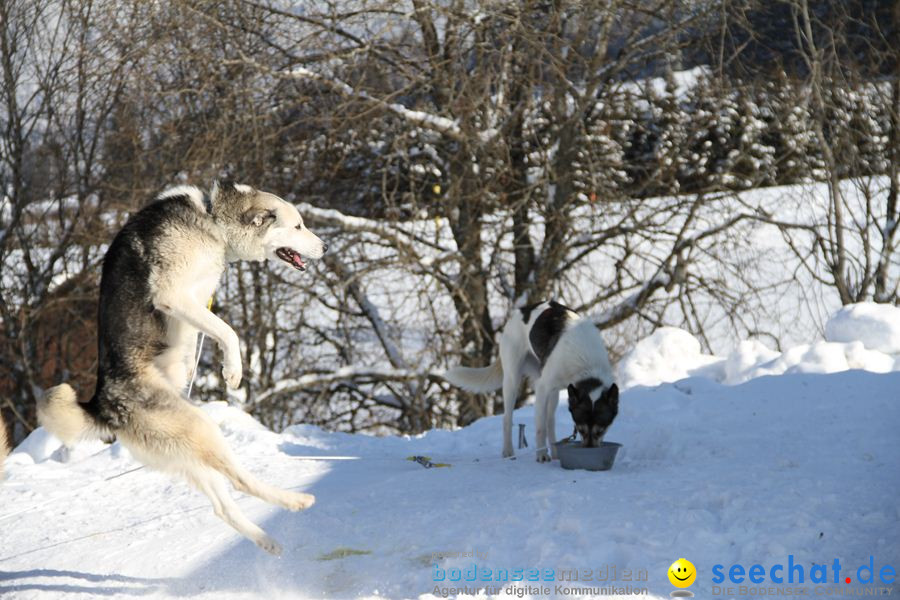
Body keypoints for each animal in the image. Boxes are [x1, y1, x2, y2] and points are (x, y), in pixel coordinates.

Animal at [444, 302, 620, 462]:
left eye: (601, 430)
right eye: (581, 429)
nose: (589, 450)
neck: (587, 368)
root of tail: (521, 310)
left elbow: (547, 424)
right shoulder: (542, 388)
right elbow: (540, 428)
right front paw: (541, 455)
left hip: (553, 392)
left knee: (550, 421)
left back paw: (555, 452)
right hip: (513, 380)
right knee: (507, 419)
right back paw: (508, 451)